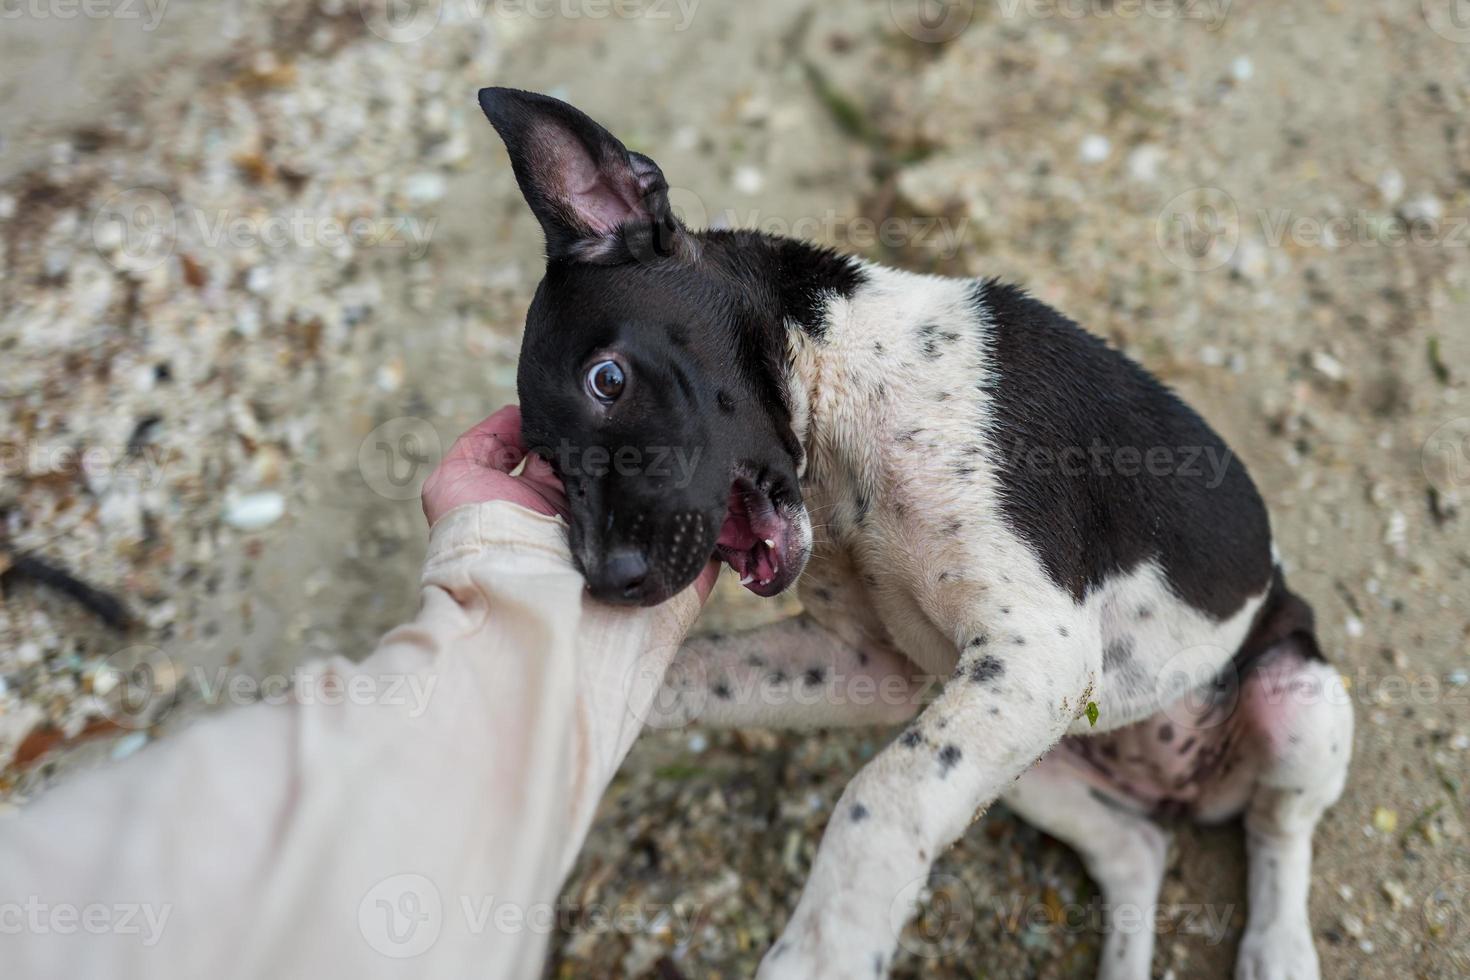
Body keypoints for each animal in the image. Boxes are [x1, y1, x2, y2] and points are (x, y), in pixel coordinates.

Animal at [476, 86, 1346, 980]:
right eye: (547, 464)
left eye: (607, 380)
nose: (607, 581)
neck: (849, 408)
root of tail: (1172, 782)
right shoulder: (874, 667)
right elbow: (694, 677)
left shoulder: (1038, 653)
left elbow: (878, 798)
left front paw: (823, 949)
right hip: (1037, 765)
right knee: (1133, 849)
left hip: (1298, 701)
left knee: (1278, 831)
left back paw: (1279, 950)